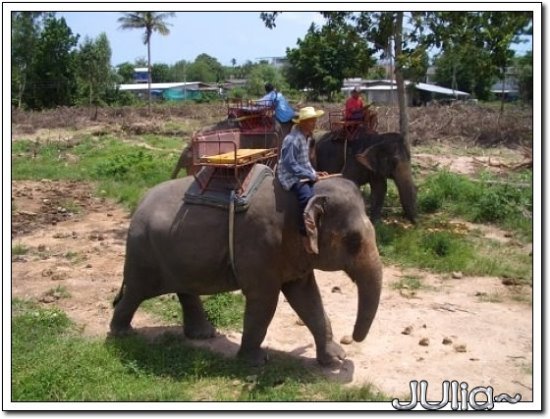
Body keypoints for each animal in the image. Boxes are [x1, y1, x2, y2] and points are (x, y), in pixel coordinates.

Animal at [111, 171, 384, 368]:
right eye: (353, 240)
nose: (353, 338)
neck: (304, 194)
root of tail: (139, 204)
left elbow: (307, 298)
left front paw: (335, 359)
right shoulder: (261, 246)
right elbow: (265, 301)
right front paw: (255, 362)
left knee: (184, 290)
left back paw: (204, 335)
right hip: (143, 254)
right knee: (135, 293)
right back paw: (122, 334)